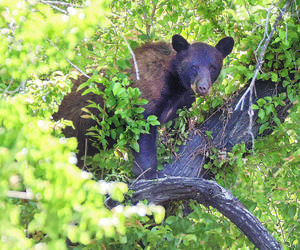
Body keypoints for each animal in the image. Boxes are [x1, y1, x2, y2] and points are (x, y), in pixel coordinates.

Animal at [52, 35, 233, 179]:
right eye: (193, 67)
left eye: (213, 68)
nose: (203, 87)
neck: (176, 82)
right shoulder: (146, 93)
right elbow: (144, 129)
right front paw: (148, 173)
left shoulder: (183, 101)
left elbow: (178, 127)